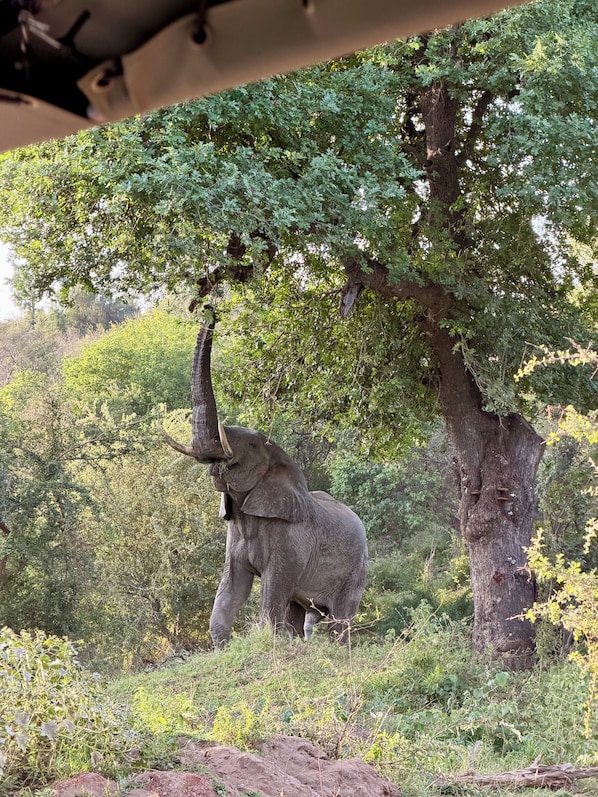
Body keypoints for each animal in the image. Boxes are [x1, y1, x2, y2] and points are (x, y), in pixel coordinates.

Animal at [165, 315, 368, 647]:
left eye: (251, 444)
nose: (209, 308)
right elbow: (231, 585)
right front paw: (224, 647)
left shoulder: (291, 540)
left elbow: (272, 589)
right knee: (297, 609)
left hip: (357, 568)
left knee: (340, 617)